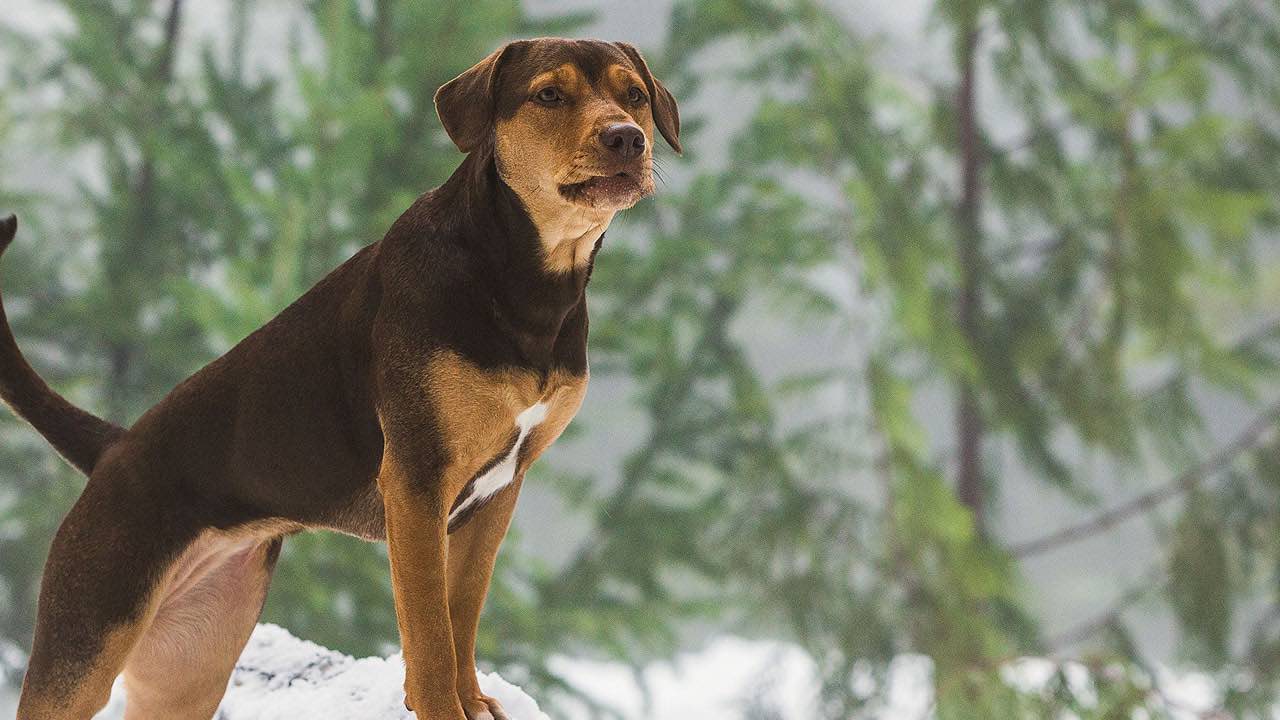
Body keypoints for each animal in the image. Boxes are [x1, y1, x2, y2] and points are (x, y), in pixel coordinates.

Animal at [5, 37, 680, 717]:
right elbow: (430, 631)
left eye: (634, 95)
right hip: (88, 631)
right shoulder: (416, 479)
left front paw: (473, 700)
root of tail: (115, 449)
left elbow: (462, 614)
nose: (626, 138)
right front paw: (442, 706)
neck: (528, 281)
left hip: (191, 659)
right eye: (549, 94)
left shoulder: (498, 491)